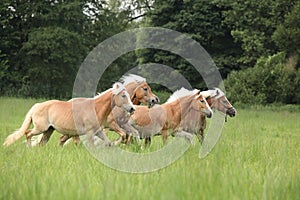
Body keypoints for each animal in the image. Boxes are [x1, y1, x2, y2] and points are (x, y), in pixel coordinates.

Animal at [2, 82, 134, 147]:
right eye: (123, 95)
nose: (132, 109)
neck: (96, 108)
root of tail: (37, 106)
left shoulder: (98, 131)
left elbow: (108, 142)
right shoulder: (90, 132)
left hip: (49, 130)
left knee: (42, 143)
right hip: (40, 128)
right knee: (28, 133)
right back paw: (29, 148)